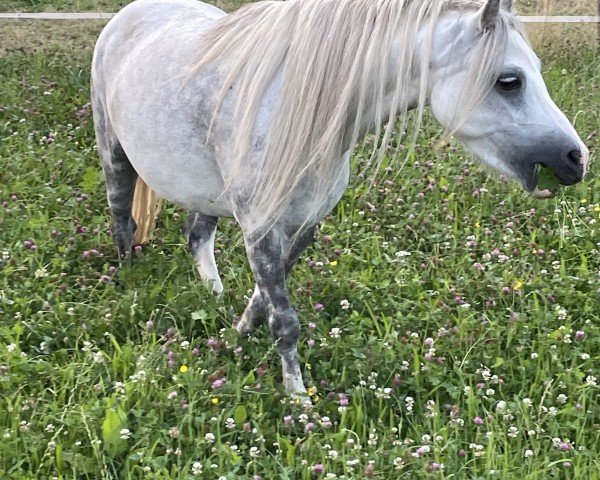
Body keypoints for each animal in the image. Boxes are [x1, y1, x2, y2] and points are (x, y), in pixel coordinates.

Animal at [91, 0, 588, 398]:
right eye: (509, 81)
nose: (576, 159)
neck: (296, 112)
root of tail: (127, 15)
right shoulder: (261, 227)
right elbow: (285, 320)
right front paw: (298, 400)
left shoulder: (303, 225)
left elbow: (264, 300)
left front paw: (238, 335)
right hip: (114, 154)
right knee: (123, 218)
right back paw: (128, 280)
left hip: (206, 193)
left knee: (197, 236)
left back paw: (213, 297)